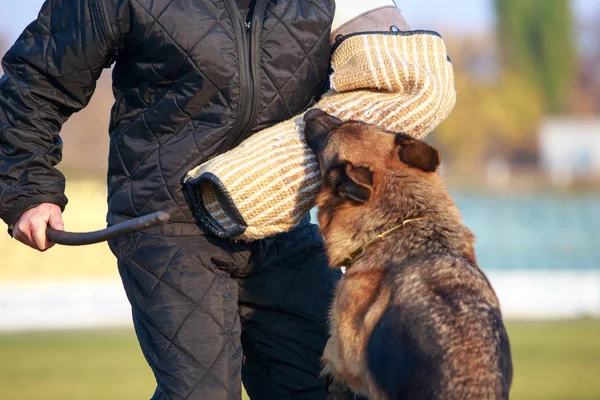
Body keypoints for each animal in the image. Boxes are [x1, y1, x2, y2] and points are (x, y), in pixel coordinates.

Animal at [302, 109, 512, 400]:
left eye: (328, 140)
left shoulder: (346, 354)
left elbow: (332, 350)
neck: (401, 222)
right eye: (358, 122)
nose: (310, 112)